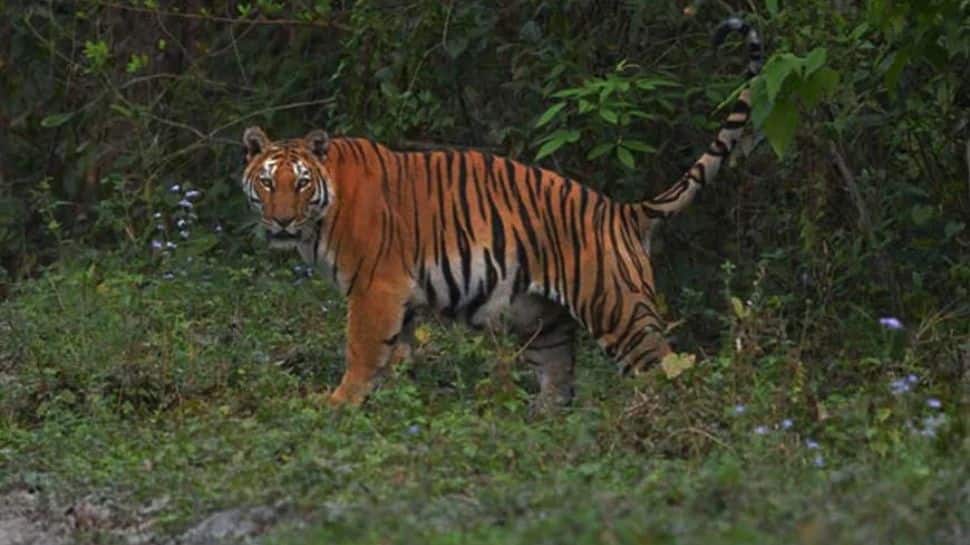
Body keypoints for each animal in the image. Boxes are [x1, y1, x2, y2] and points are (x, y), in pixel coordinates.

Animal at [240, 17, 764, 407]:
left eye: (300, 184)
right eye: (267, 183)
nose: (281, 220)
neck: (324, 211)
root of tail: (624, 211)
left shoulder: (376, 288)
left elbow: (363, 351)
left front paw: (338, 404)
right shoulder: (401, 297)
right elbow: (397, 356)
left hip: (620, 311)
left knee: (669, 370)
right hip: (545, 322)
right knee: (560, 386)